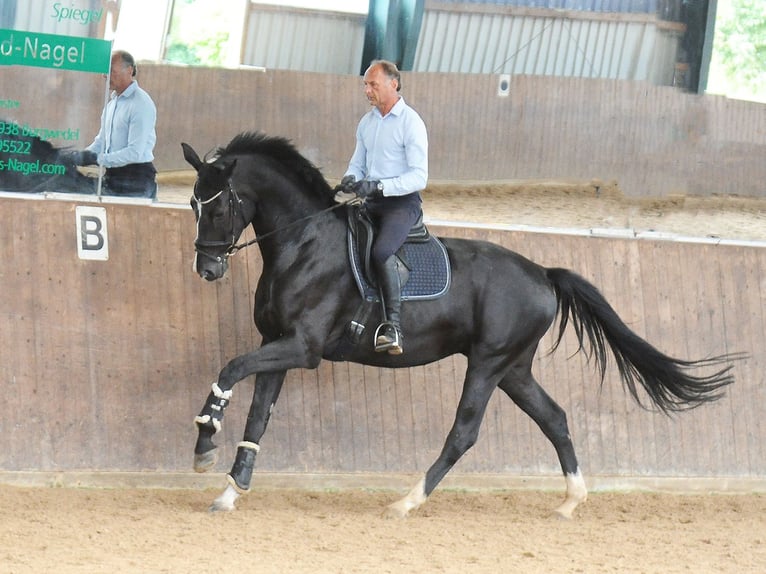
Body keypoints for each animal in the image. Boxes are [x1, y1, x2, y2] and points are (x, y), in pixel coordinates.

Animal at [183, 133, 740, 520]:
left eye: (222, 203)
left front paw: (205, 441)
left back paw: (407, 502)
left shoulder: (302, 347)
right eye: (192, 202)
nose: (207, 270)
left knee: (464, 432)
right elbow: (258, 414)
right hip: (513, 368)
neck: (305, 244)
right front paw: (230, 490)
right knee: (554, 417)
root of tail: (542, 274)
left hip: (489, 363)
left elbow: (230, 369)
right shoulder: (276, 342)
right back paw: (569, 501)